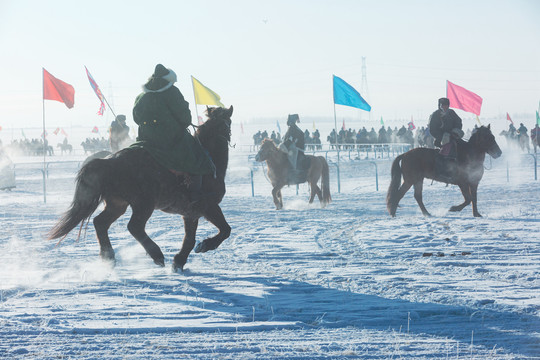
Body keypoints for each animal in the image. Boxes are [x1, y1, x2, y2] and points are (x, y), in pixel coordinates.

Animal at [47, 105, 232, 272]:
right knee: (134, 227)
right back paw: (156, 255)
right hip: (144, 204)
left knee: (100, 223)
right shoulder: (209, 206)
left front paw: (179, 262)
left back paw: (108, 257)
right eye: (227, 123)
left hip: (118, 204)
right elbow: (225, 230)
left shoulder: (190, 213)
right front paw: (205, 245)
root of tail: (108, 161)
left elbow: (189, 239)